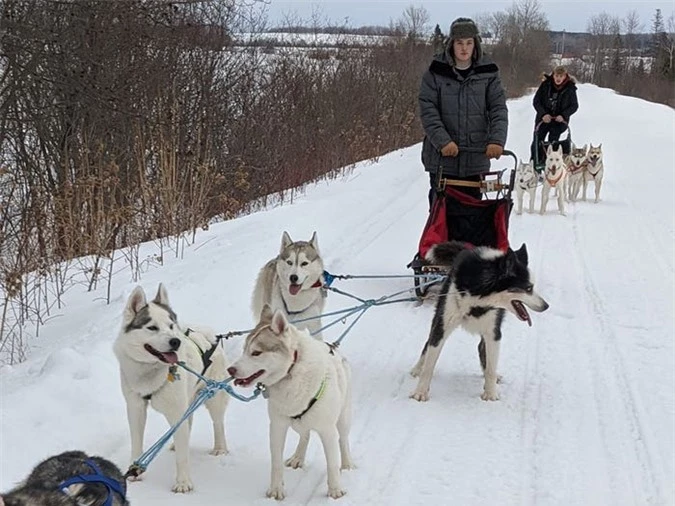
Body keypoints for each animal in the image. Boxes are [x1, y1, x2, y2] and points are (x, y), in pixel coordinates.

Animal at [113, 284, 230, 494]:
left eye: (170, 325)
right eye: (152, 327)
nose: (176, 341)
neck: (151, 373)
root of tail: (210, 336)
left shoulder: (176, 410)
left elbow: (182, 457)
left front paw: (183, 482)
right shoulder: (135, 408)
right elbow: (136, 441)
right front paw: (135, 471)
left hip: (213, 397)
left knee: (217, 423)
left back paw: (219, 448)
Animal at [227, 306, 354, 500]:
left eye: (256, 353)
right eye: (244, 350)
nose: (230, 370)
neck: (291, 371)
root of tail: (334, 349)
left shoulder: (327, 431)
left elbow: (332, 463)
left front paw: (335, 491)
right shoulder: (277, 427)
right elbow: (276, 463)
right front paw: (276, 490)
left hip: (342, 418)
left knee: (344, 440)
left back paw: (347, 465)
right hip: (297, 424)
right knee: (305, 435)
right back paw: (298, 457)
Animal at [412, 241, 548, 404]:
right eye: (528, 288)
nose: (546, 306)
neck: (479, 296)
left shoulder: (493, 334)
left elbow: (490, 367)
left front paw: (490, 393)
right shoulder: (442, 327)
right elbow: (429, 365)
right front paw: (420, 391)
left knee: (483, 350)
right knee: (428, 344)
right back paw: (417, 368)